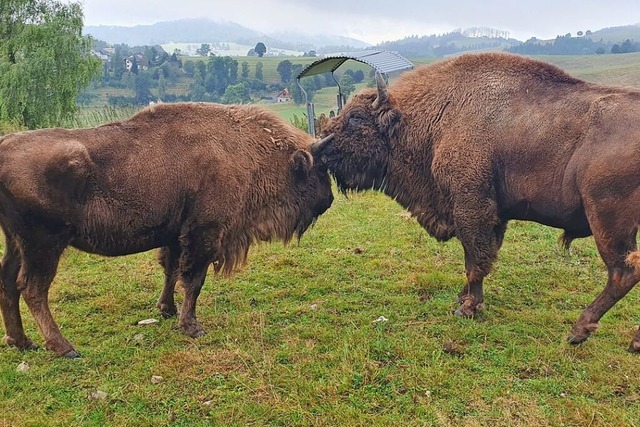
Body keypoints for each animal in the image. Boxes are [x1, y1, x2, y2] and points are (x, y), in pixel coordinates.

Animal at [1, 101, 336, 358]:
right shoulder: (204, 233)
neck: (244, 148)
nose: (329, 199)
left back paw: (22, 342)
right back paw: (64, 347)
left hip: (17, 243)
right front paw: (192, 326)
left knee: (8, 282)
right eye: (319, 169)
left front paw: (167, 310)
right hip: (43, 245)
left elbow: (171, 271)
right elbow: (193, 280)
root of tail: (5, 147)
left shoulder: (175, 235)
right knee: (32, 288)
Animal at [312, 52, 640, 352]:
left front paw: (468, 307)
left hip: (608, 221)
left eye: (356, 118)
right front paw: (464, 298)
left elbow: (475, 260)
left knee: (623, 273)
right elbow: (482, 256)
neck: (435, 117)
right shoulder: (495, 214)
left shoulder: (472, 207)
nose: (320, 148)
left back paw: (579, 330)